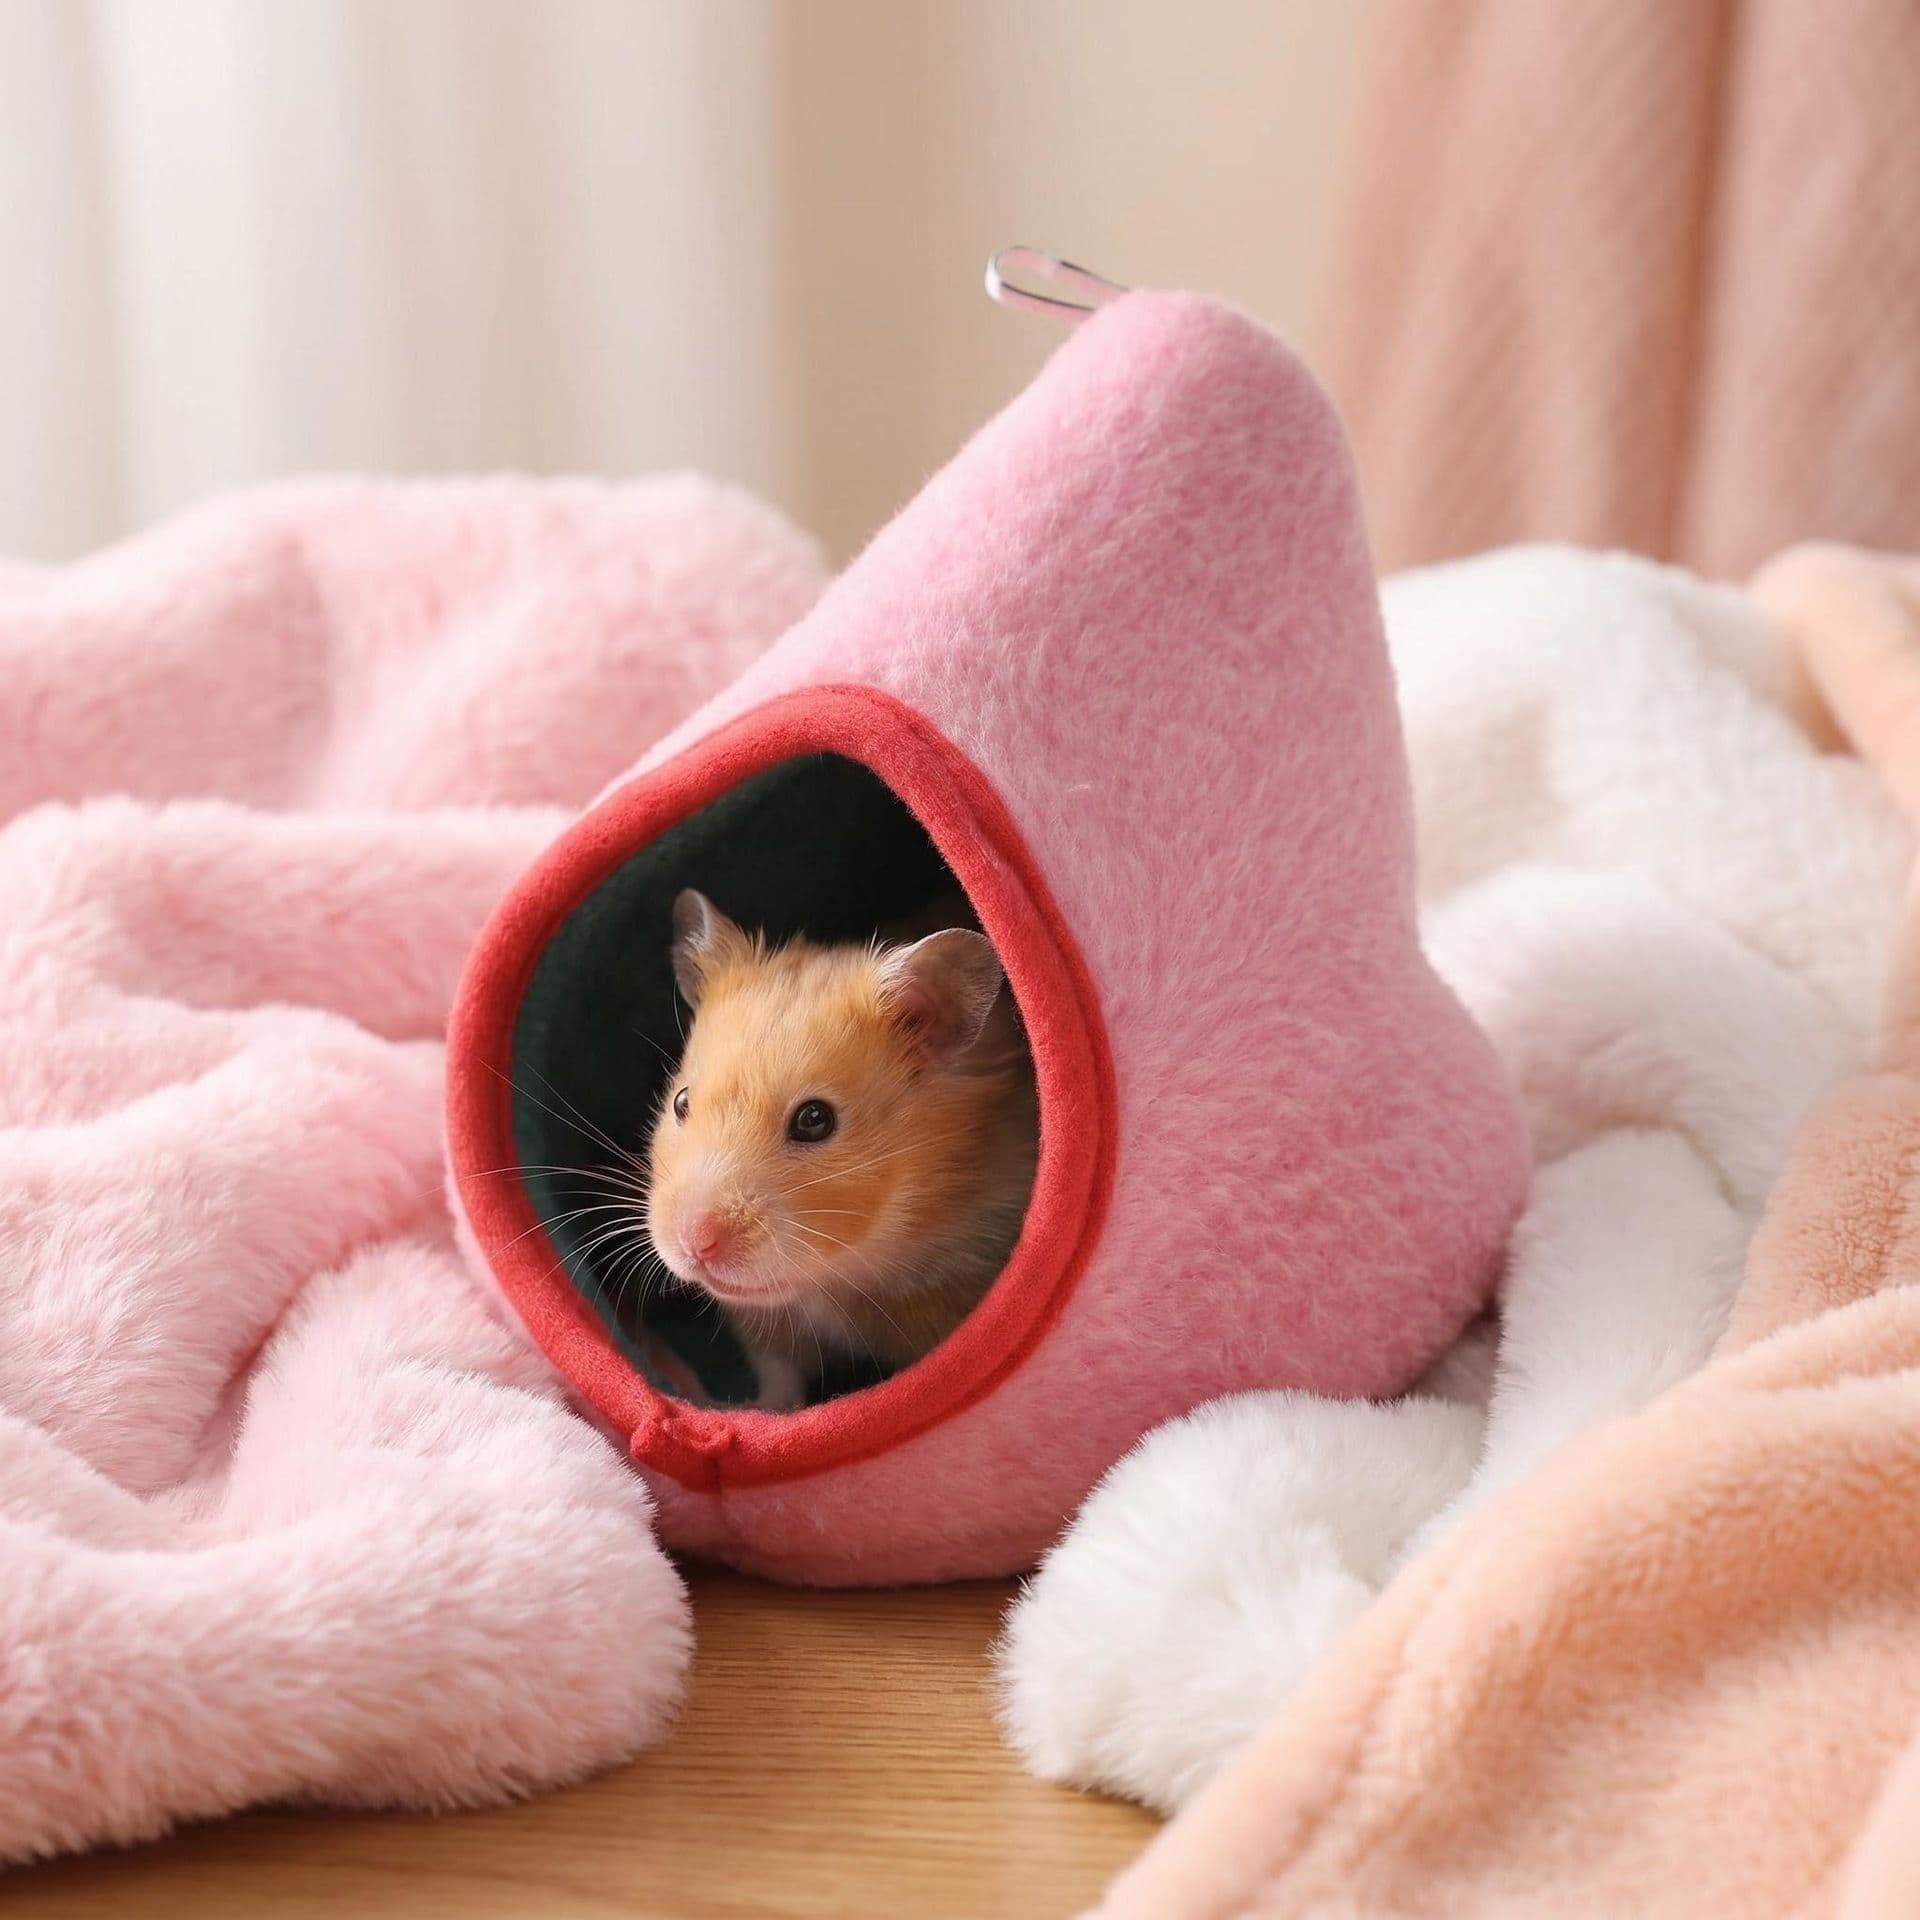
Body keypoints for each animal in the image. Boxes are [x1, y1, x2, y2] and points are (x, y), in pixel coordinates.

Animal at [646, 889, 1038, 1410]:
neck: (839, 1277)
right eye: (681, 1102)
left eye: (815, 1120)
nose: (695, 1244)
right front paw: (756, 1409)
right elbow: (779, 1376)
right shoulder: (769, 1326)